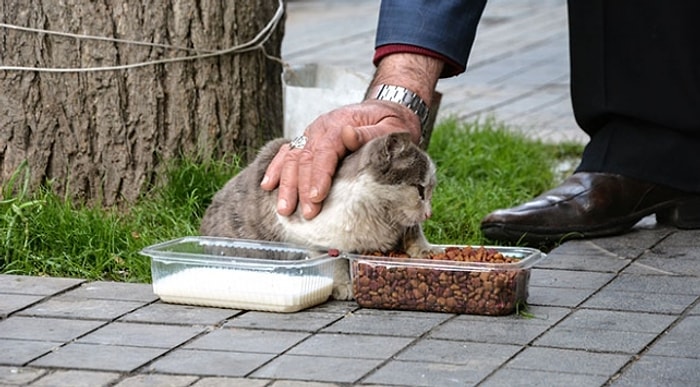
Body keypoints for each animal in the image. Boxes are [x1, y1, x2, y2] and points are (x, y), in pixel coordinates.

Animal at [198, 131, 438, 300]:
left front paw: (427, 251)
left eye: (430, 190)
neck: (378, 217)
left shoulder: (402, 226)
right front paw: (343, 286)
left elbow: (414, 232)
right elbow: (335, 262)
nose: (429, 213)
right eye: (419, 189)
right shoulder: (307, 236)